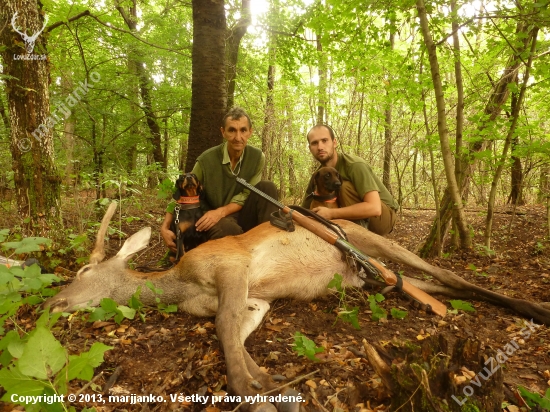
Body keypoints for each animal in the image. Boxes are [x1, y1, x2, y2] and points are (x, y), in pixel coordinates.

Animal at [45, 204, 550, 412]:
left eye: (84, 271)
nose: (50, 304)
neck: (181, 285)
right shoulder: (255, 300)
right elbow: (233, 335)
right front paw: (269, 384)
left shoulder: (231, 265)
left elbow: (224, 334)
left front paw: (255, 398)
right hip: (370, 277)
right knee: (423, 284)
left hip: (373, 240)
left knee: (448, 275)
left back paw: (535, 307)